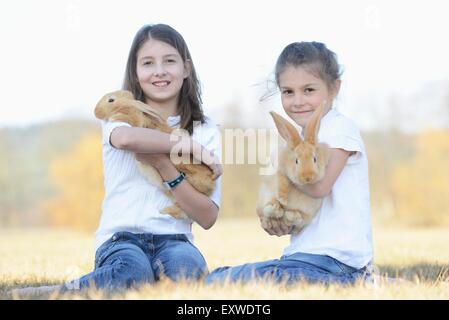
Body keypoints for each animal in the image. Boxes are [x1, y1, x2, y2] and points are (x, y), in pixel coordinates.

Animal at [93, 90, 215, 220]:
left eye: (111, 100)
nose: (96, 112)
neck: (129, 106)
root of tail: (211, 183)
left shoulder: (136, 120)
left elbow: (128, 118)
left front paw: (114, 118)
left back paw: (164, 211)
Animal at [258, 104, 328, 234]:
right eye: (296, 161)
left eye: (314, 159)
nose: (307, 177)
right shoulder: (280, 173)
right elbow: (282, 183)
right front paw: (281, 202)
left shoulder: (308, 214)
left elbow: (299, 221)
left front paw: (291, 215)